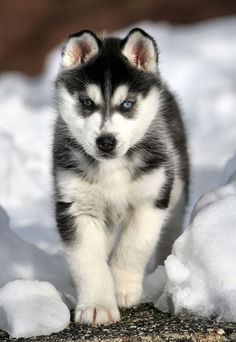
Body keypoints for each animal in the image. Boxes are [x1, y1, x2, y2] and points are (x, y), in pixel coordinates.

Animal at [52, 28, 189, 324]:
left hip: (177, 187)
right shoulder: (77, 206)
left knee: (170, 230)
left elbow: (134, 245)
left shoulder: (151, 198)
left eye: (127, 104)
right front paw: (97, 305)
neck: (111, 168)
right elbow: (87, 258)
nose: (106, 141)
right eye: (86, 102)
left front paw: (122, 288)